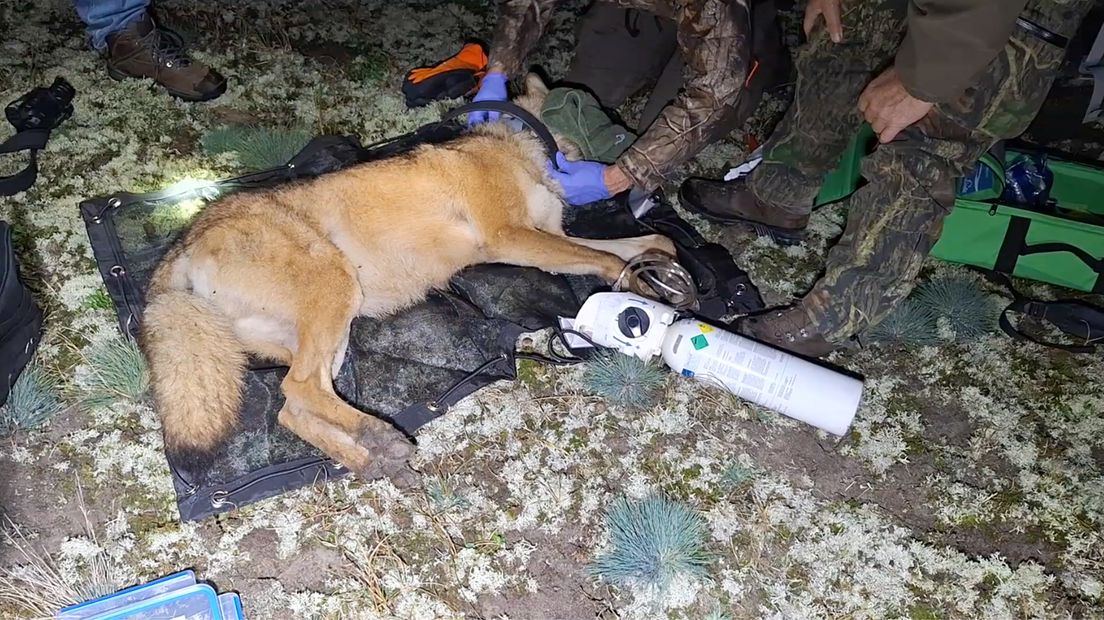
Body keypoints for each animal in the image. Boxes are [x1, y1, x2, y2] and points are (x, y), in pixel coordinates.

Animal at [141, 74, 675, 482]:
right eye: (594, 111)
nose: (642, 157)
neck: (524, 148)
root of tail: (186, 240)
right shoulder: (514, 238)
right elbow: (603, 261)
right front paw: (642, 295)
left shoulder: (550, 237)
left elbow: (634, 246)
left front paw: (658, 268)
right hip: (335, 290)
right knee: (298, 390)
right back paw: (377, 438)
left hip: (332, 335)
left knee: (293, 406)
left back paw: (372, 457)